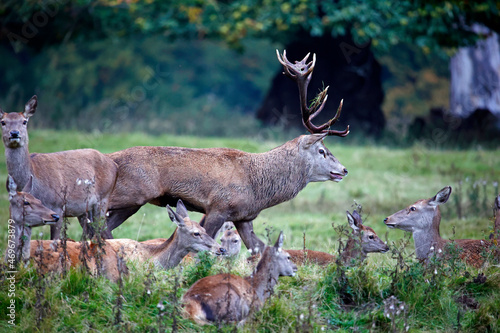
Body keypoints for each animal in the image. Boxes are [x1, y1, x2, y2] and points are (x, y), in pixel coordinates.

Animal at [0, 96, 118, 239]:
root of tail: (114, 165)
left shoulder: (58, 206)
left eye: (24, 121)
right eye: (3, 122)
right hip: (86, 210)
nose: (14, 133)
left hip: (102, 199)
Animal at [104, 49, 348, 253]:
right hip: (133, 193)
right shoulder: (218, 206)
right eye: (322, 150)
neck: (257, 187)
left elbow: (259, 248)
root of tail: (109, 157)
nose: (344, 170)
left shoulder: (244, 217)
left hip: (132, 202)